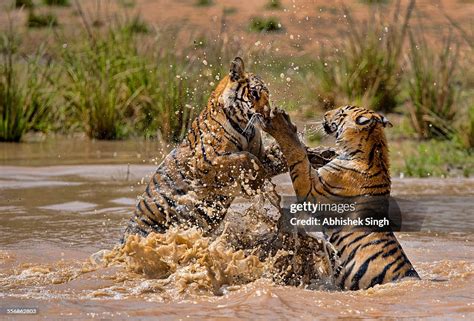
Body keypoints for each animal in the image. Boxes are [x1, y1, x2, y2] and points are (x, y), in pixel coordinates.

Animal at [122, 56, 286, 239]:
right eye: (254, 93)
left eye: (267, 95)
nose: (268, 115)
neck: (245, 126)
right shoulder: (205, 161)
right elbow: (246, 158)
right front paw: (261, 186)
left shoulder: (259, 153)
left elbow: (265, 158)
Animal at [262, 105, 420, 290]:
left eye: (341, 113)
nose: (325, 114)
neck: (372, 151)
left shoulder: (311, 193)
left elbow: (297, 156)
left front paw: (281, 123)